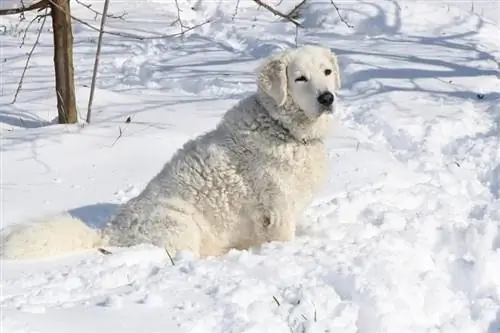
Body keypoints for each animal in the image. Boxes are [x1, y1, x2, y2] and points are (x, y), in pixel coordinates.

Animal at [0, 44, 342, 260]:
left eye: (327, 71)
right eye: (300, 78)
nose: (327, 98)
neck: (283, 128)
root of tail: (108, 235)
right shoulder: (278, 210)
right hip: (182, 224)